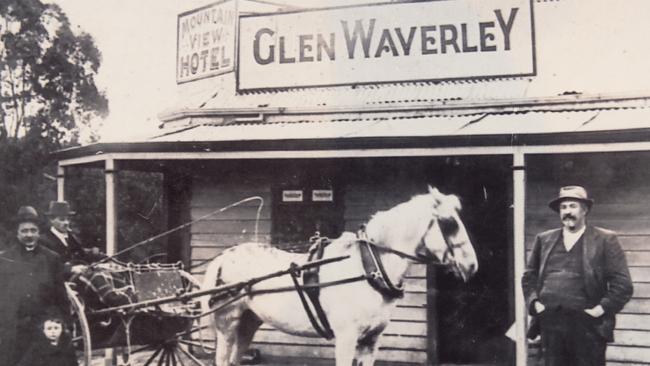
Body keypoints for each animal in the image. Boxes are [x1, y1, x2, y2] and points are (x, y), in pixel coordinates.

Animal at [200, 187, 478, 364]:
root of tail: (223, 258)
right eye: (450, 223)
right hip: (228, 325)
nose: (472, 265)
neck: (367, 269)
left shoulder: (371, 341)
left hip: (248, 323)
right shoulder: (346, 338)